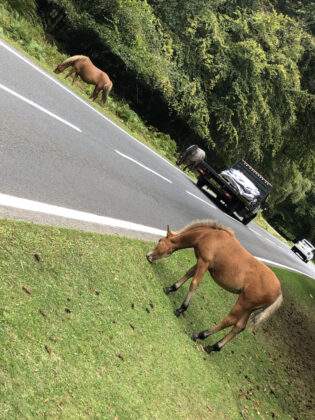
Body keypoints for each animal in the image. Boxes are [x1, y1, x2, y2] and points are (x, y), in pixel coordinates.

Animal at [147, 221, 282, 352]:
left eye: (160, 241)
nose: (148, 256)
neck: (207, 235)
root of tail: (279, 293)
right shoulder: (202, 262)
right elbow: (189, 273)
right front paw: (170, 288)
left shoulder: (204, 261)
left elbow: (194, 283)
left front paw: (181, 309)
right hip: (249, 308)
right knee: (239, 326)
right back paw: (213, 347)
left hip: (244, 302)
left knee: (230, 320)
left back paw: (200, 335)